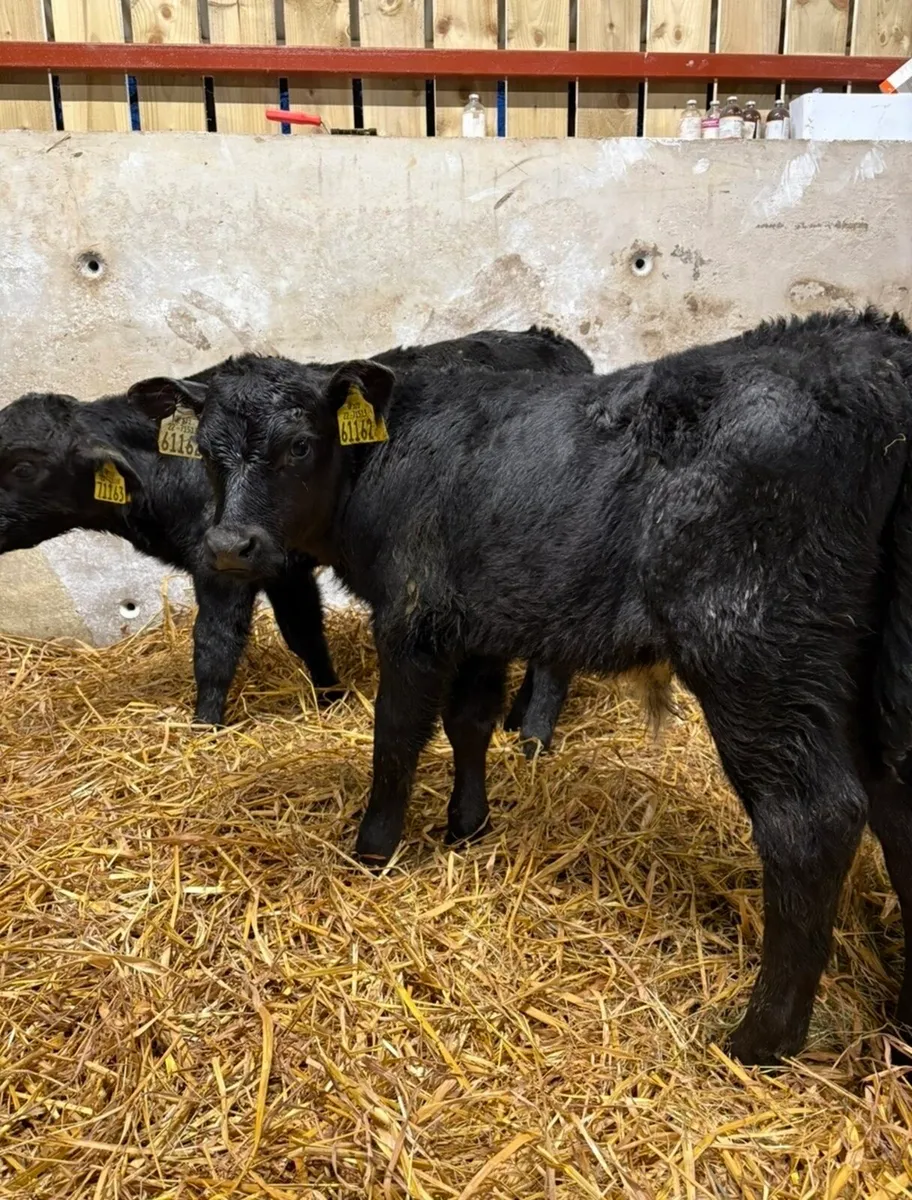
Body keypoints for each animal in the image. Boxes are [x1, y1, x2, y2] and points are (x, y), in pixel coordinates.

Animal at [0, 327, 589, 735]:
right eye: (205, 448)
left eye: (23, 466)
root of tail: (552, 341)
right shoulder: (276, 564)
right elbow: (303, 631)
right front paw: (330, 696)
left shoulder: (221, 566)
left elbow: (214, 645)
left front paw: (204, 728)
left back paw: (532, 732)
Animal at [175, 307, 912, 1065]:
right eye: (205, 450)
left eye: (298, 445)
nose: (230, 546)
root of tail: (872, 347)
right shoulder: (476, 620)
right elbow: (468, 721)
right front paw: (466, 826)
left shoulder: (413, 615)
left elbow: (397, 736)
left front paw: (374, 849)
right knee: (897, 802)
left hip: (754, 644)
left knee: (810, 819)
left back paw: (758, 1040)